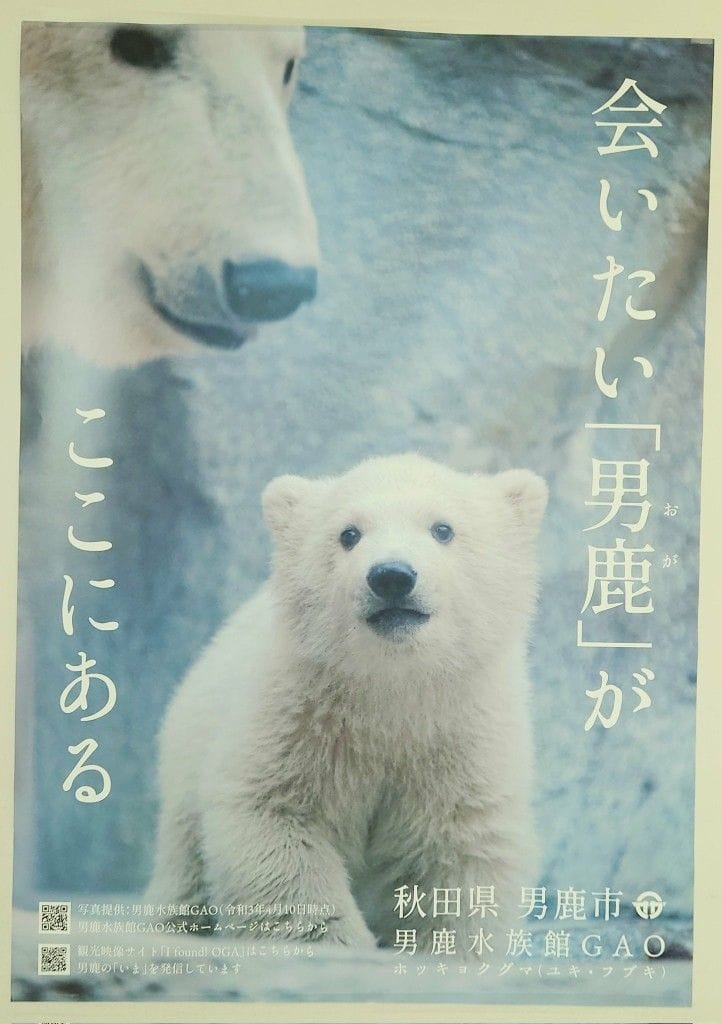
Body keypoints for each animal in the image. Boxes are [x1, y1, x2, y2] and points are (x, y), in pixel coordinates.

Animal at [146, 453, 547, 951]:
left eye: (443, 529)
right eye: (348, 533)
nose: (392, 576)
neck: (390, 690)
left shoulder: (462, 735)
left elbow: (458, 845)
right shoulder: (294, 717)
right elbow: (274, 819)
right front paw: (338, 942)